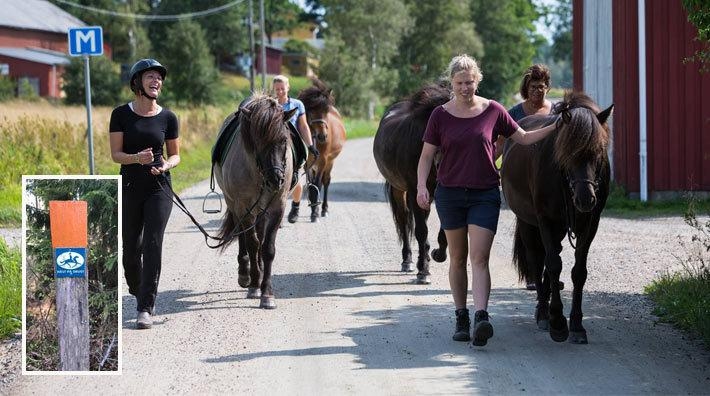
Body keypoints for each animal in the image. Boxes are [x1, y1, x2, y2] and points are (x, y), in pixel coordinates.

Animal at [214, 93, 298, 310]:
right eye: (258, 142)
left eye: (283, 140)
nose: (276, 180)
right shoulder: (244, 207)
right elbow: (252, 243)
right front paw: (253, 286)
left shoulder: (277, 208)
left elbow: (267, 248)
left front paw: (267, 292)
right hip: (236, 205)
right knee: (243, 236)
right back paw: (246, 274)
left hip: (261, 210)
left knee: (259, 235)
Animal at [298, 79, 348, 221]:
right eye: (310, 111)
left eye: (326, 111)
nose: (322, 136)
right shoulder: (308, 163)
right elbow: (311, 185)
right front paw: (313, 207)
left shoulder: (323, 161)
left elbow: (318, 184)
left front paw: (315, 212)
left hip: (330, 161)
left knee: (326, 181)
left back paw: (324, 209)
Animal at [372, 83, 450, 284]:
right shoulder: (415, 191)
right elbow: (421, 231)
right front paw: (423, 271)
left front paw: (437, 255)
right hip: (399, 190)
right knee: (404, 220)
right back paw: (407, 261)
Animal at [504, 91, 616, 342]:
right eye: (567, 153)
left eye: (599, 151)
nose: (586, 199)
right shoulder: (545, 220)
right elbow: (554, 265)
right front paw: (556, 321)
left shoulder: (589, 225)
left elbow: (578, 272)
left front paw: (576, 325)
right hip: (529, 223)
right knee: (538, 260)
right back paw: (543, 313)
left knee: (549, 256)